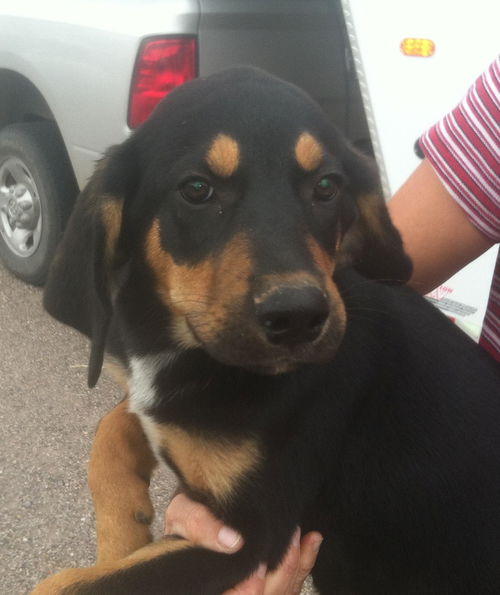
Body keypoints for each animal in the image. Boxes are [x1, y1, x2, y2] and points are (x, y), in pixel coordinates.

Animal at [33, 67, 498, 592]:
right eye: (197, 189)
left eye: (327, 186)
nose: (298, 317)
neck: (196, 353)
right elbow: (114, 427)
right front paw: (122, 530)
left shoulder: (250, 534)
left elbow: (68, 584)